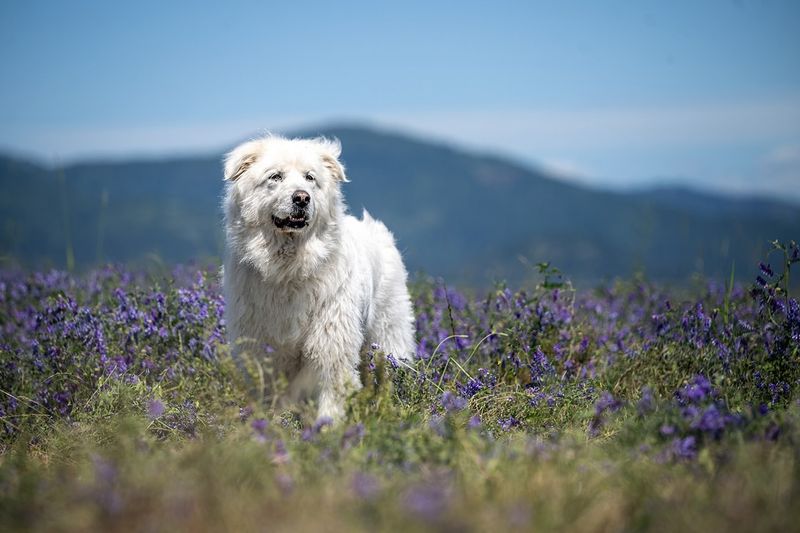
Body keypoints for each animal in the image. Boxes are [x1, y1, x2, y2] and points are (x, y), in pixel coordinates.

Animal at [222, 133, 416, 420]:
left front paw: (328, 426)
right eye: (275, 176)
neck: (288, 268)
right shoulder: (263, 346)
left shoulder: (331, 342)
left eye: (310, 178)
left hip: (388, 331)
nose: (302, 198)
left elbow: (331, 392)